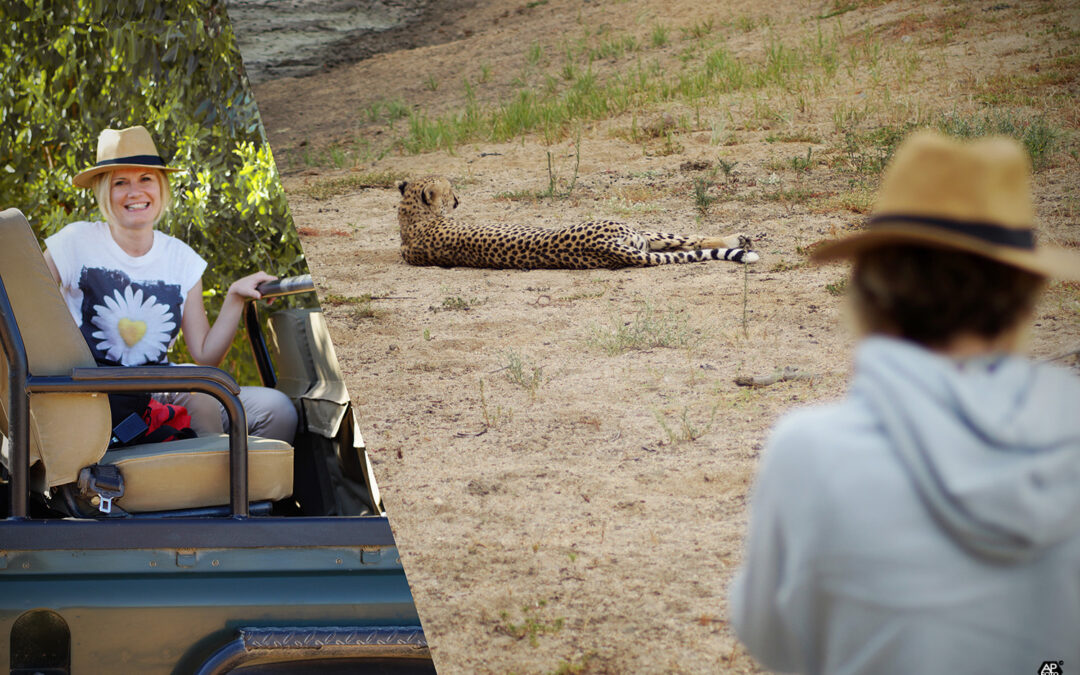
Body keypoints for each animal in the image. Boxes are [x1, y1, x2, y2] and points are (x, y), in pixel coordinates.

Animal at [397, 173, 760, 268]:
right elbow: (691, 238)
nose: (458, 199)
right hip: (634, 232)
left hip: (637, 239)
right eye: (450, 190)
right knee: (687, 240)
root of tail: (603, 247)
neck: (410, 220)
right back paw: (739, 239)